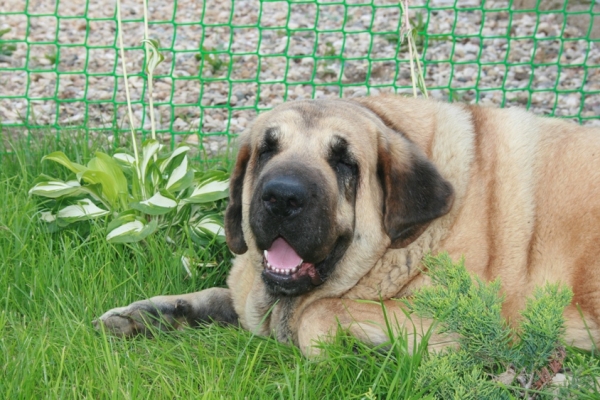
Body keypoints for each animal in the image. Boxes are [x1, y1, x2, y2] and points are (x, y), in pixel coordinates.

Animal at [94, 96, 600, 356]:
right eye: (267, 149)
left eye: (344, 162)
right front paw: (147, 313)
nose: (282, 197)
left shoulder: (472, 318)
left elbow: (316, 315)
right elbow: (220, 297)